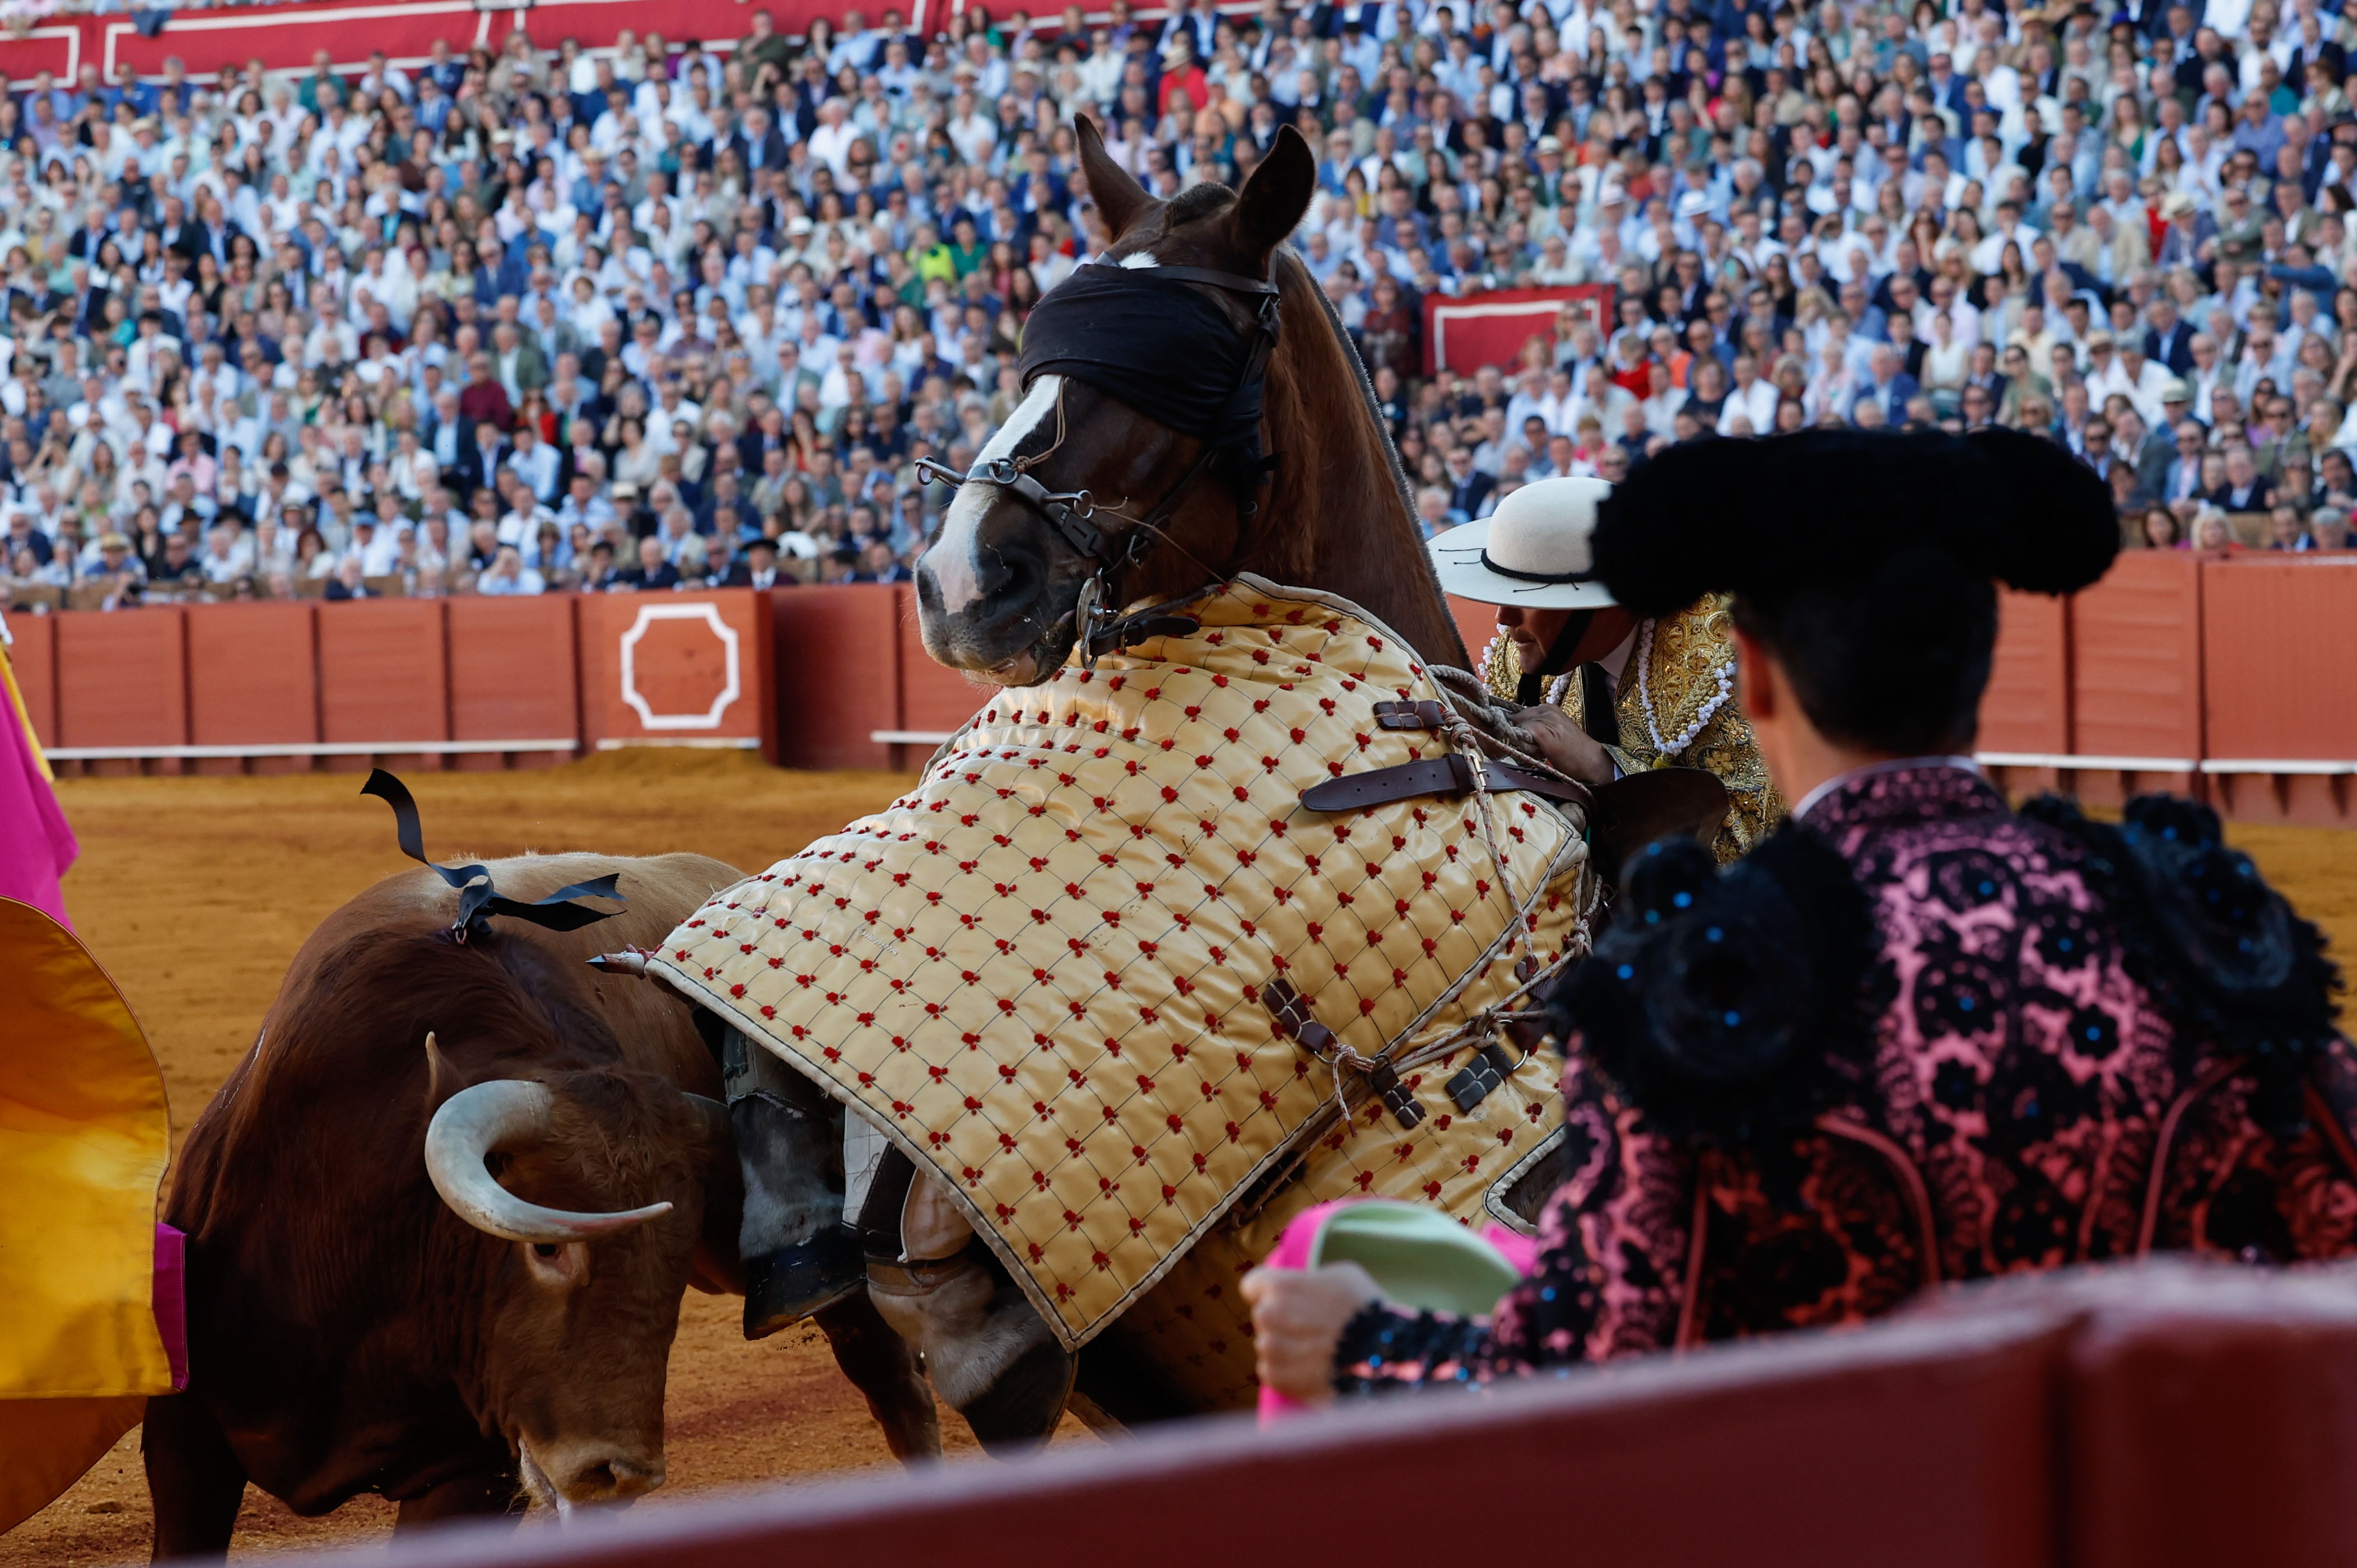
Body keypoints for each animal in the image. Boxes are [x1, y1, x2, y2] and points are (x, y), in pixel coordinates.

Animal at [140, 844, 938, 1556]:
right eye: (545, 1246)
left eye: (669, 1267)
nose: (619, 1472)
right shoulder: (186, 1435)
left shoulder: (471, 1469)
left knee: (893, 1380)